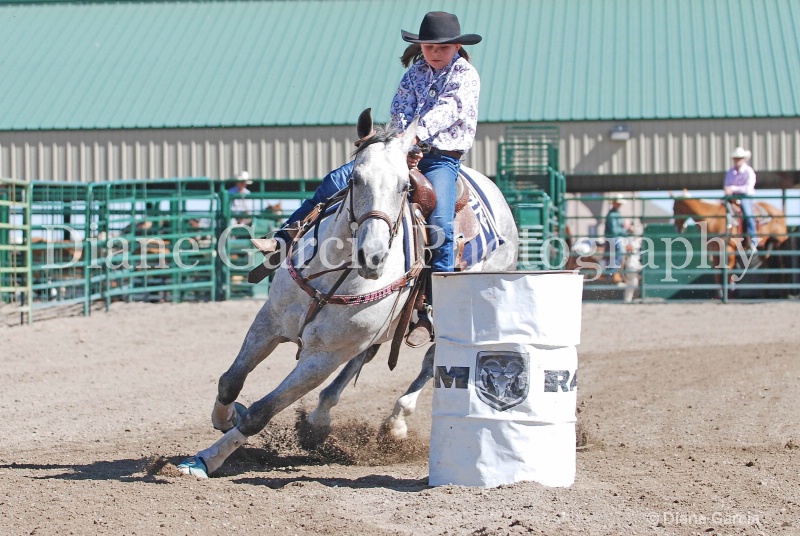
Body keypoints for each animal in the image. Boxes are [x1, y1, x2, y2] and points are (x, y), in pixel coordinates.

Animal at [177, 112, 520, 478]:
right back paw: (319, 418)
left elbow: (262, 412)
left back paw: (395, 423)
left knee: (431, 361)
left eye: (404, 187)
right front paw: (225, 418)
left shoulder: (322, 358)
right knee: (362, 357)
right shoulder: (268, 323)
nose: (372, 256)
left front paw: (206, 459)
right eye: (354, 179)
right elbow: (230, 381)